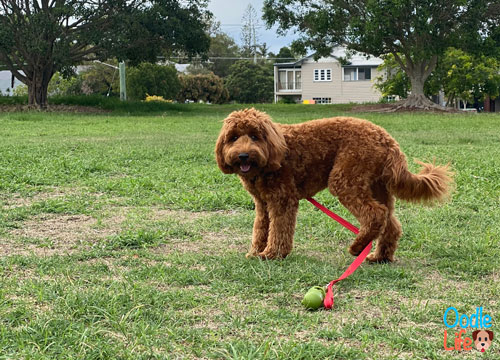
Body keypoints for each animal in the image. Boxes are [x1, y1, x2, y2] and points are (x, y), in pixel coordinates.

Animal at [214, 107, 454, 262]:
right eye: (233, 138)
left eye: (255, 136)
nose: (243, 156)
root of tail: (387, 139)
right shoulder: (263, 204)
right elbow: (261, 228)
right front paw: (255, 252)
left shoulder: (283, 200)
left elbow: (279, 229)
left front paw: (273, 254)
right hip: (377, 186)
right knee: (390, 222)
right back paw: (379, 256)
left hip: (345, 179)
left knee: (375, 214)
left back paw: (357, 247)